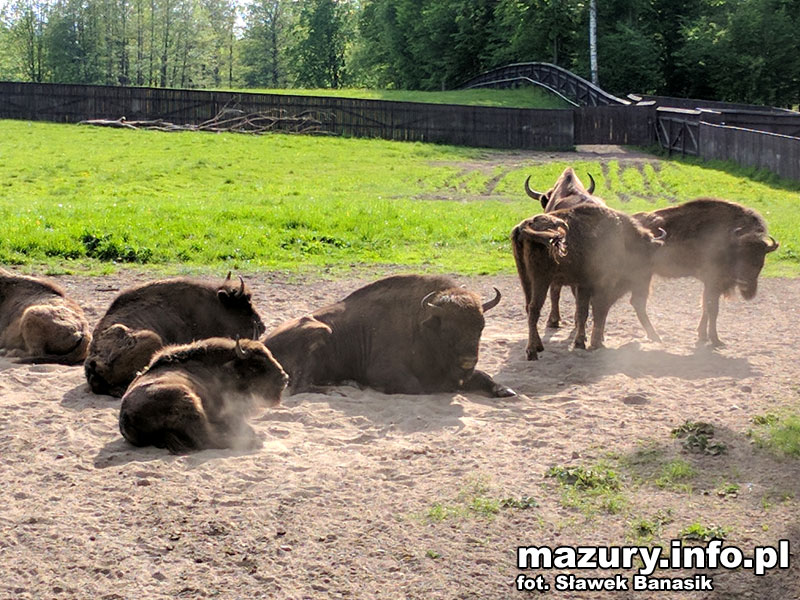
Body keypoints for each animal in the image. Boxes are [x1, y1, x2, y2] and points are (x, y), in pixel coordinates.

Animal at [115, 338, 284, 454]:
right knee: (207, 440)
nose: (285, 378)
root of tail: (126, 415)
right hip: (189, 401)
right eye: (255, 365)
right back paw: (252, 442)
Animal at [262, 274, 512, 396]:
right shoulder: (383, 370)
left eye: (481, 326)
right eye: (448, 329)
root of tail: (265, 342)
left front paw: (505, 390)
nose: (468, 360)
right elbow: (417, 386)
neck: (422, 324)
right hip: (320, 331)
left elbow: (483, 375)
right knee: (300, 387)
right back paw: (339, 390)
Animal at [512, 204, 664, 358]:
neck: (623, 240)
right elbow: (599, 310)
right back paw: (532, 351)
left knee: (529, 307)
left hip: (525, 278)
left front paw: (580, 342)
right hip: (541, 279)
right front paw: (596, 343)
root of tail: (525, 226)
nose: (645, 284)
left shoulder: (584, 285)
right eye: (645, 256)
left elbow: (583, 312)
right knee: (534, 309)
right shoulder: (603, 284)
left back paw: (538, 346)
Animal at [632, 198, 776, 346]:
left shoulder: (712, 285)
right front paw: (716, 340)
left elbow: (706, 307)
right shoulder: (713, 282)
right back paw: (655, 336)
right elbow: (712, 309)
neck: (729, 241)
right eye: (740, 254)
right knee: (639, 302)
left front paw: (703, 336)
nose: (745, 283)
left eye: (761, 259)